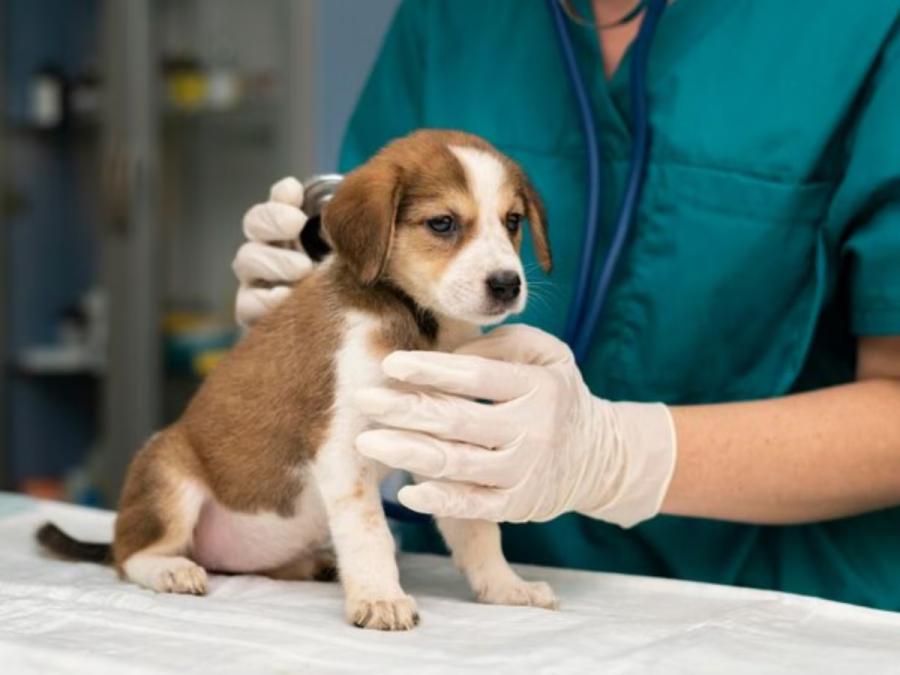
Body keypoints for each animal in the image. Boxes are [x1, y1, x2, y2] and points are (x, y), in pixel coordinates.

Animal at [40, 129, 556, 632]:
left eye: (512, 221)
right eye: (443, 223)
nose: (507, 284)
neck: (417, 319)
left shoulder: (443, 445)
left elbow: (477, 530)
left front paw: (505, 586)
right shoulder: (342, 450)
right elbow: (370, 533)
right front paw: (381, 597)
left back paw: (314, 564)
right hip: (168, 474)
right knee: (129, 555)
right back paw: (171, 569)